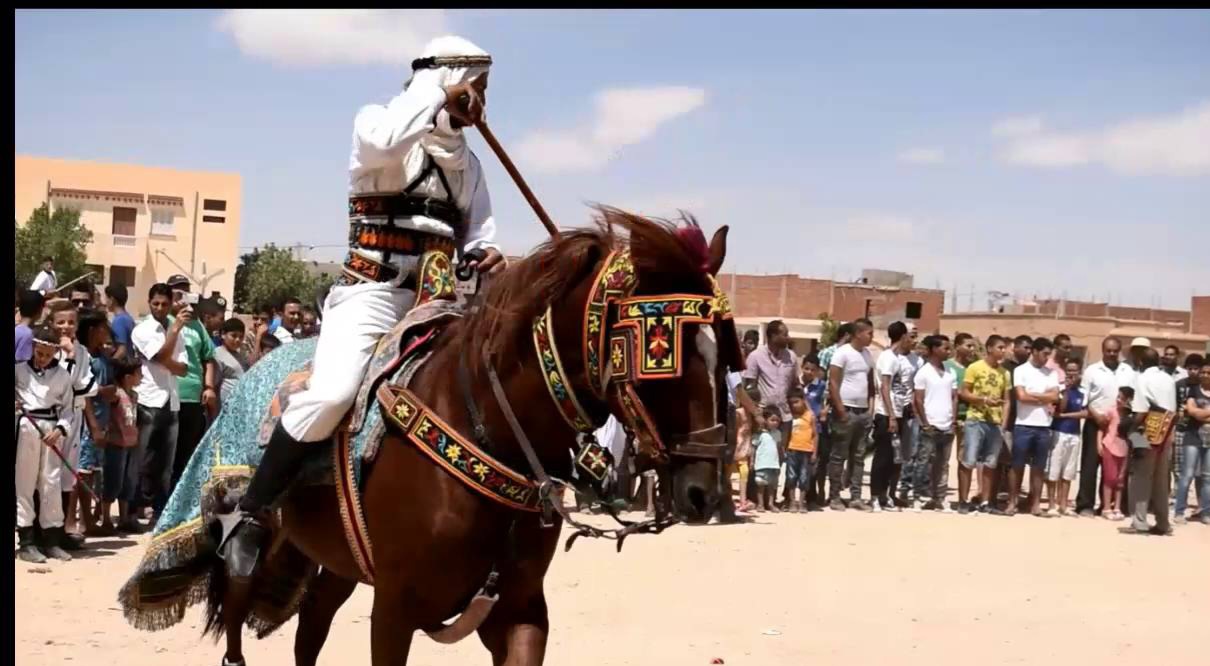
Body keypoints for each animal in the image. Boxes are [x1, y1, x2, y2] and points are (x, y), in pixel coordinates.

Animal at [210, 207, 735, 663]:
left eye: (722, 354)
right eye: (663, 355)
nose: (702, 492)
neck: (486, 432)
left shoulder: (519, 612)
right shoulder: (394, 610)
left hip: (337, 561)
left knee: (312, 625)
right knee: (237, 604)